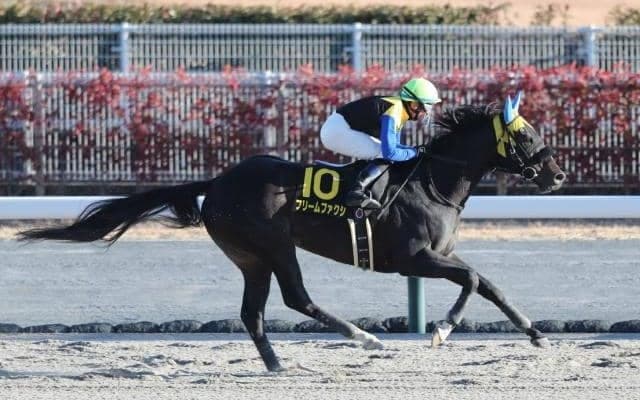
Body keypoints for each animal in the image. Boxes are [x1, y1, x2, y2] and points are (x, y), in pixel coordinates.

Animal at [19, 95, 566, 372]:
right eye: (525, 135)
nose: (558, 176)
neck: (433, 180)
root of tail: (217, 182)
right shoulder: (414, 260)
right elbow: (473, 280)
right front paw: (442, 329)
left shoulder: (437, 259)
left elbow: (489, 284)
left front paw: (537, 334)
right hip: (275, 244)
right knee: (296, 298)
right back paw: (365, 338)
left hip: (249, 257)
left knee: (254, 312)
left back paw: (277, 365)